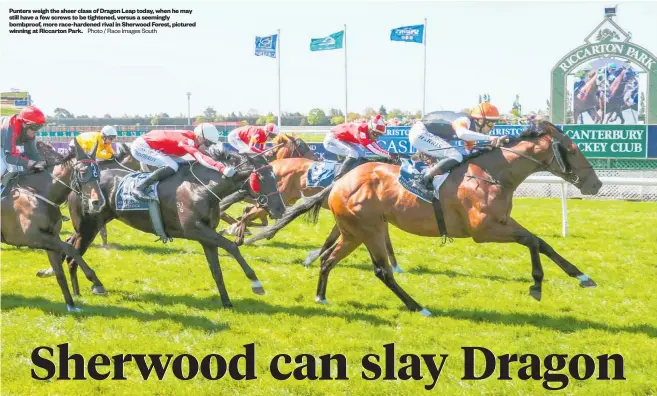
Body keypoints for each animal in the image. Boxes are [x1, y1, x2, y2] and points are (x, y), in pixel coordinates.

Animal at [0, 140, 106, 312]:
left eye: (99, 172)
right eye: (83, 172)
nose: (98, 202)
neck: (38, 194)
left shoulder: (50, 238)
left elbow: (60, 273)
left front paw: (71, 305)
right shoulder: (33, 238)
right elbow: (71, 248)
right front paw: (96, 282)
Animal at [43, 147, 284, 308]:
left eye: (276, 175)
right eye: (261, 177)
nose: (280, 208)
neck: (202, 188)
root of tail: (78, 184)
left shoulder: (206, 235)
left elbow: (216, 269)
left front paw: (226, 302)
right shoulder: (195, 230)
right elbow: (232, 247)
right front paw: (255, 282)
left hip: (90, 226)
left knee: (69, 249)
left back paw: (76, 289)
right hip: (88, 226)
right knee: (72, 253)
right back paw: (87, 288)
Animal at [306, 121, 600, 316]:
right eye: (573, 149)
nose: (596, 185)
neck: (493, 174)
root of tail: (340, 181)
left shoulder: (502, 221)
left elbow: (540, 242)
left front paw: (581, 276)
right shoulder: (483, 231)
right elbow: (530, 240)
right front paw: (537, 283)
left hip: (354, 232)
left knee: (328, 259)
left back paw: (320, 296)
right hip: (370, 229)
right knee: (382, 271)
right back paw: (418, 307)